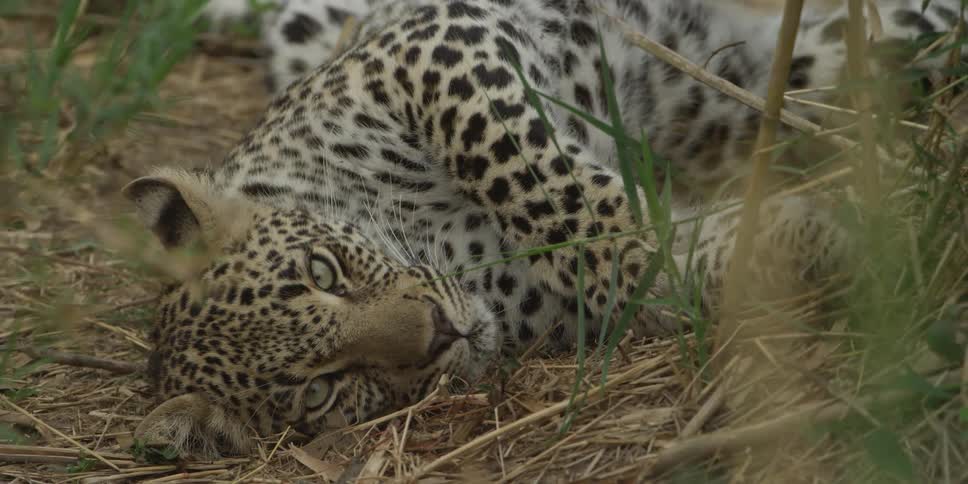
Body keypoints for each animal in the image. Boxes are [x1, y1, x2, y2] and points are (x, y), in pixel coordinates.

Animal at [125, 0, 963, 458]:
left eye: (323, 272)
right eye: (323, 392)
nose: (439, 333)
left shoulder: (433, 52)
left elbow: (530, 175)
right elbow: (637, 271)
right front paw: (793, 241)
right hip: (812, 62)